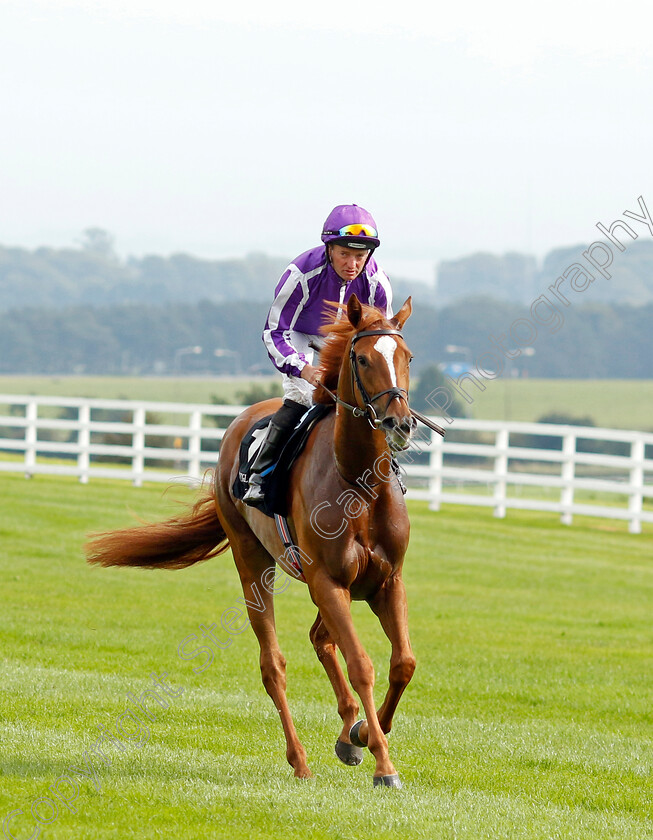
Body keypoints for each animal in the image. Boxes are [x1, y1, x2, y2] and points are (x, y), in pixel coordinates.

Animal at [85, 294, 418, 788]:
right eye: (361, 358)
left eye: (406, 357)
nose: (399, 424)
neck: (359, 484)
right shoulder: (328, 581)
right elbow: (362, 664)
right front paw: (383, 764)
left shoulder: (386, 581)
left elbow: (402, 664)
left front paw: (360, 734)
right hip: (253, 559)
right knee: (273, 664)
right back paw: (300, 760)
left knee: (321, 640)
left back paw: (346, 733)